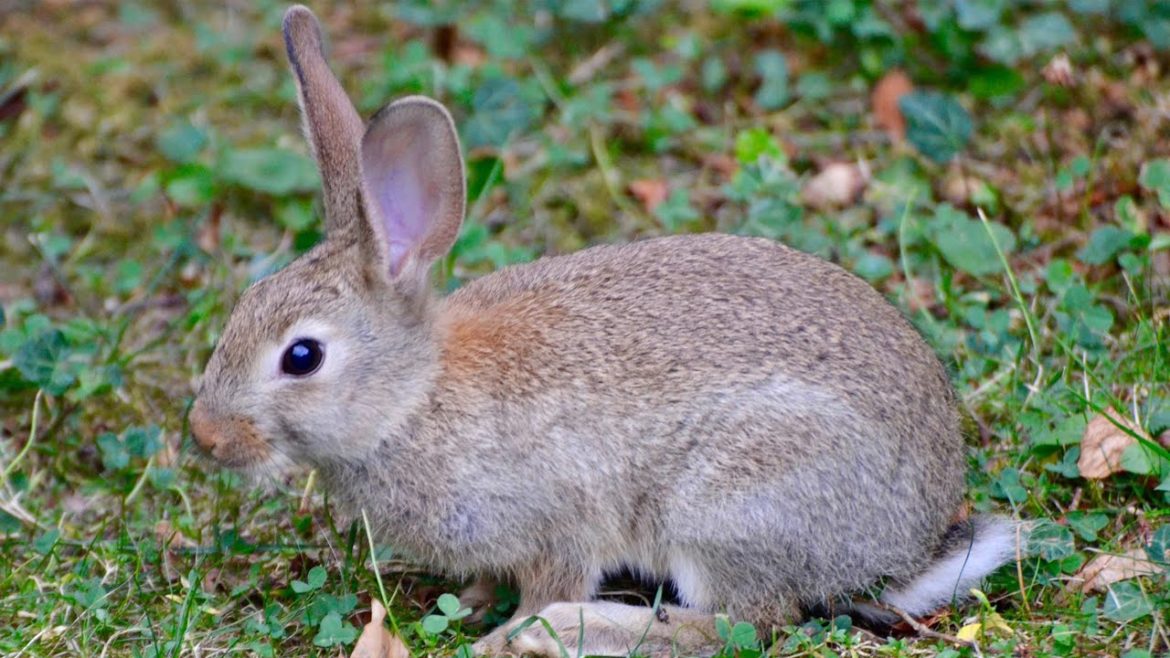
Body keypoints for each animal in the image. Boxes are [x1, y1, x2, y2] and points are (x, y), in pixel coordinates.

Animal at [189, 5, 1021, 657]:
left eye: (302, 356)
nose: (204, 436)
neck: (411, 400)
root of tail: (907, 545)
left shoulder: (560, 518)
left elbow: (555, 574)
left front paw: (503, 635)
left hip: (728, 503)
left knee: (742, 624)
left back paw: (566, 631)